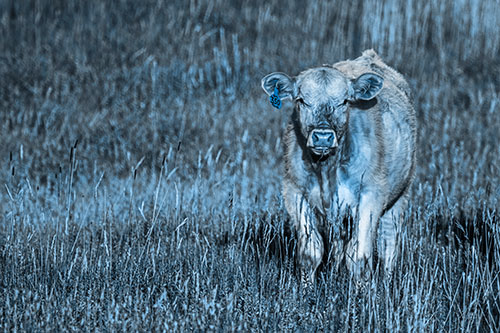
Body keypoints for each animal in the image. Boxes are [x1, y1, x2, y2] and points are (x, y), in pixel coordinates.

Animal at [260, 50, 416, 282]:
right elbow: (310, 253)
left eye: (344, 101)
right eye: (301, 100)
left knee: (388, 243)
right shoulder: (295, 193)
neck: (326, 170)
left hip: (401, 194)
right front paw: (305, 288)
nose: (323, 136)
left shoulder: (371, 196)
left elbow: (360, 257)